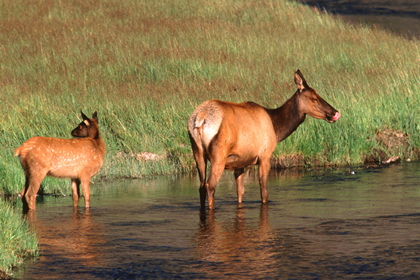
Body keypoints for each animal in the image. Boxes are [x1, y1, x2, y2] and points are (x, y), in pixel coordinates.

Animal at [189, 70, 340, 210]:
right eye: (314, 98)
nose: (334, 112)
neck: (276, 128)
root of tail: (200, 118)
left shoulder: (240, 162)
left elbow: (240, 192)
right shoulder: (265, 155)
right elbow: (264, 192)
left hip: (197, 152)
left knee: (201, 186)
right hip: (218, 154)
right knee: (210, 186)